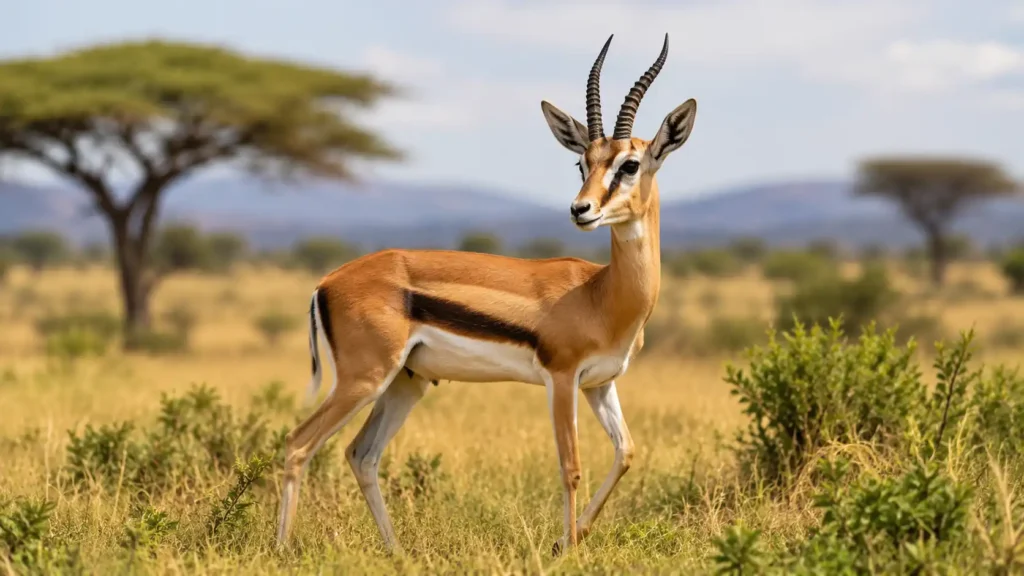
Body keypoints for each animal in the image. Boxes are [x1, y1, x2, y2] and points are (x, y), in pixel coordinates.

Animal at [276, 33, 697, 555]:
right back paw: (281, 549)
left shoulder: (601, 383)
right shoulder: (562, 379)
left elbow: (626, 453)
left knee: (362, 454)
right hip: (363, 378)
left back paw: (397, 552)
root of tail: (327, 281)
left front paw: (569, 541)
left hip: (405, 382)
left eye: (630, 164)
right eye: (582, 161)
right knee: (298, 443)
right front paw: (562, 549)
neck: (602, 294)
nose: (581, 209)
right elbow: (571, 468)